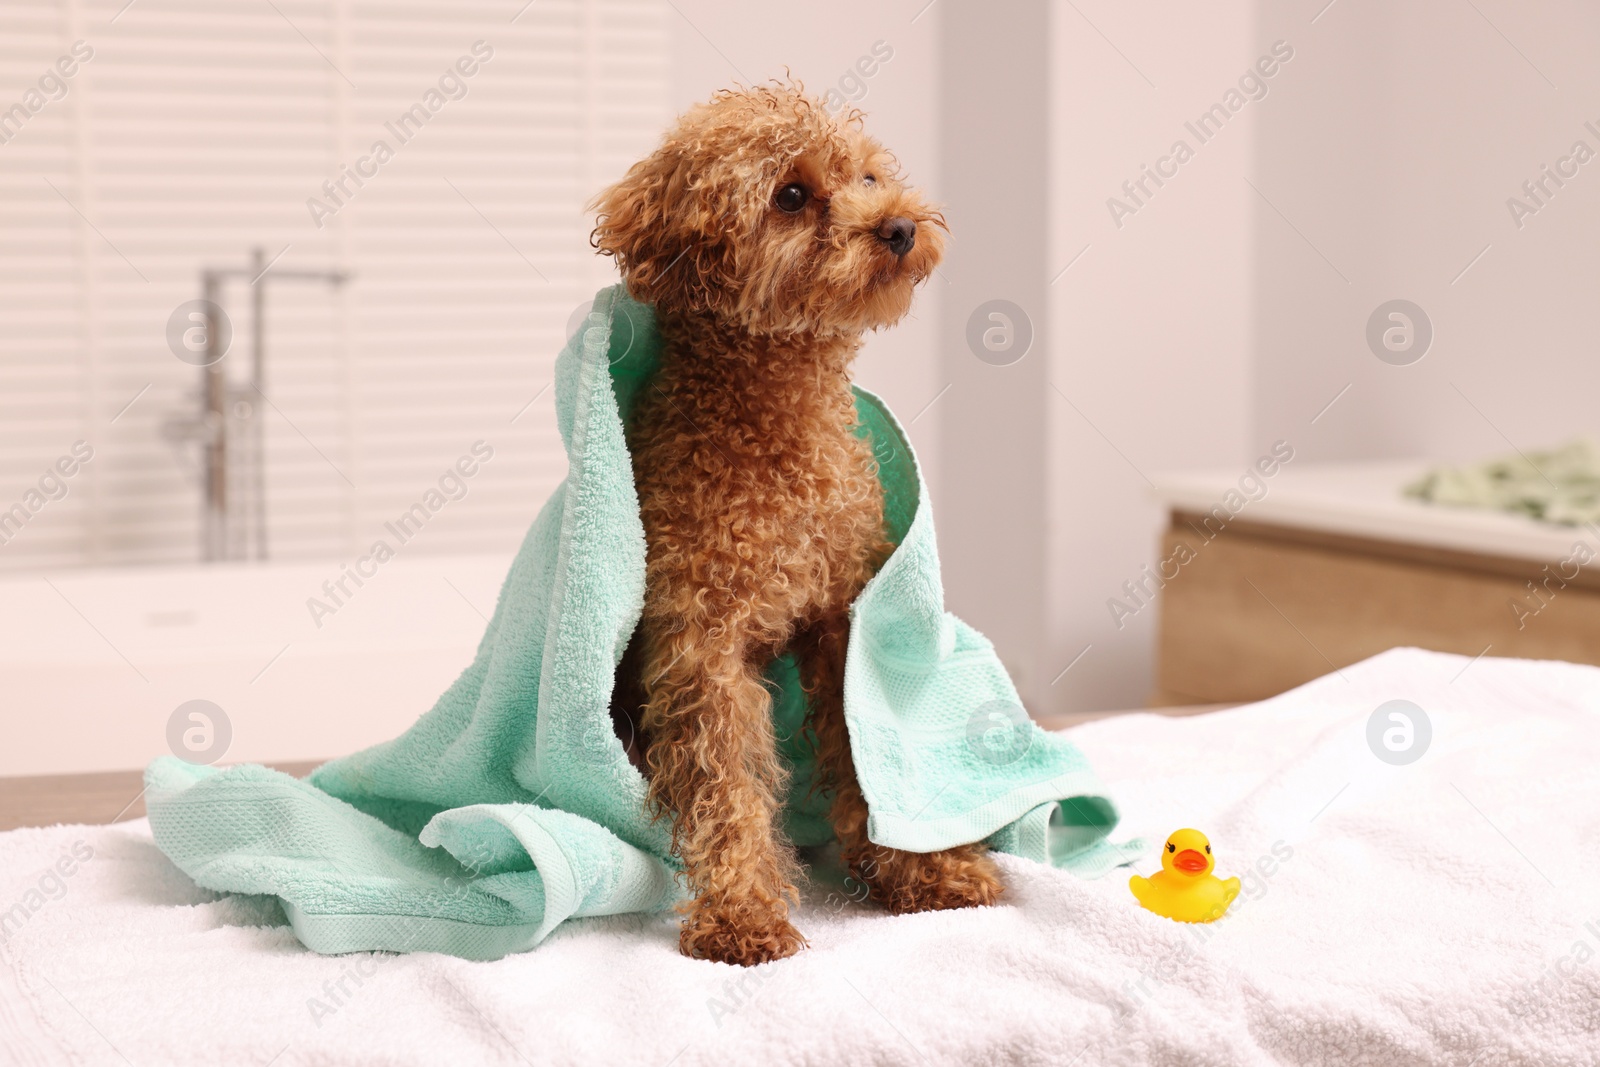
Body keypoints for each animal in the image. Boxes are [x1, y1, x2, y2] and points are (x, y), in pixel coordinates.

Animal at [595, 85, 998, 966]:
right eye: (789, 194)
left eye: (869, 175)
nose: (899, 227)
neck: (773, 434)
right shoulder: (701, 646)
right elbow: (728, 785)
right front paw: (742, 912)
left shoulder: (843, 622)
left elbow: (861, 747)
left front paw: (923, 871)